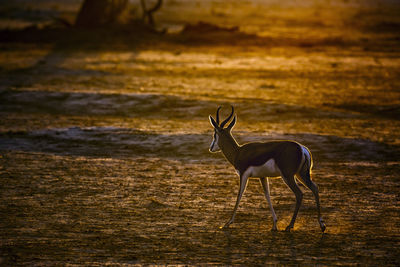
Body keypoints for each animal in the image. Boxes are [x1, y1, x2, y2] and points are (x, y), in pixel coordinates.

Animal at [209, 105, 324, 233]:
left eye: (214, 134)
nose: (211, 148)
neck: (238, 152)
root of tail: (302, 148)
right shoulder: (262, 176)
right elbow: (267, 195)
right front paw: (274, 224)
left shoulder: (243, 174)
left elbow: (239, 194)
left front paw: (227, 223)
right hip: (301, 174)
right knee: (315, 187)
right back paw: (322, 225)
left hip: (288, 176)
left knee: (299, 194)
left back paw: (290, 226)